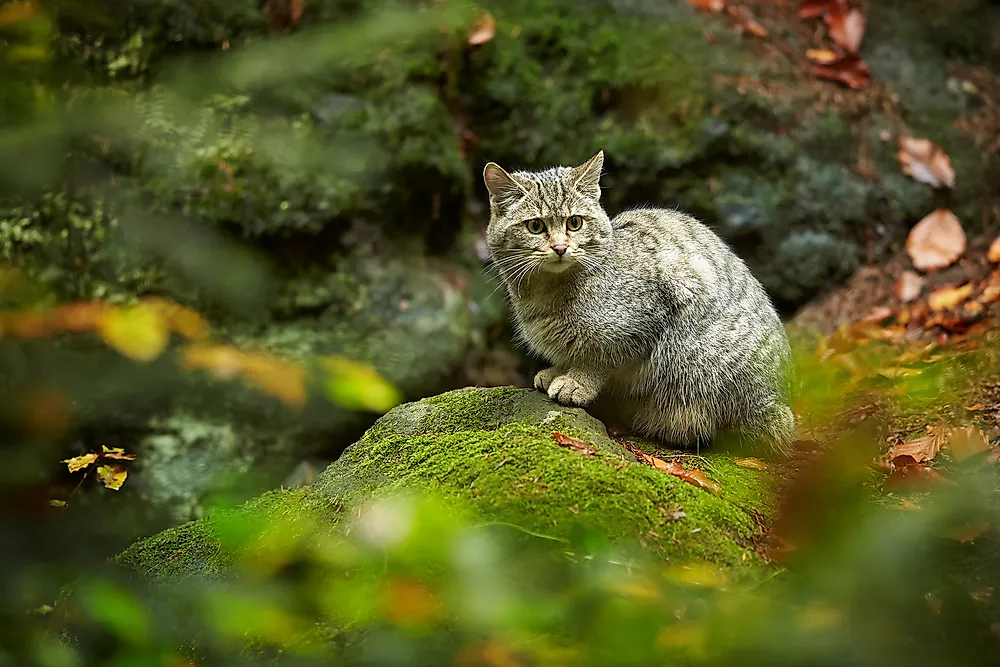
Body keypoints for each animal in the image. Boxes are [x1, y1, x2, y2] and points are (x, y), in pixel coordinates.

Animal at [484, 150, 796, 454]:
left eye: (575, 222)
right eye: (535, 226)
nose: (560, 247)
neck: (547, 294)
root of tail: (776, 402)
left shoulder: (644, 321)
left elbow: (599, 358)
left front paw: (577, 382)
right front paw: (557, 371)